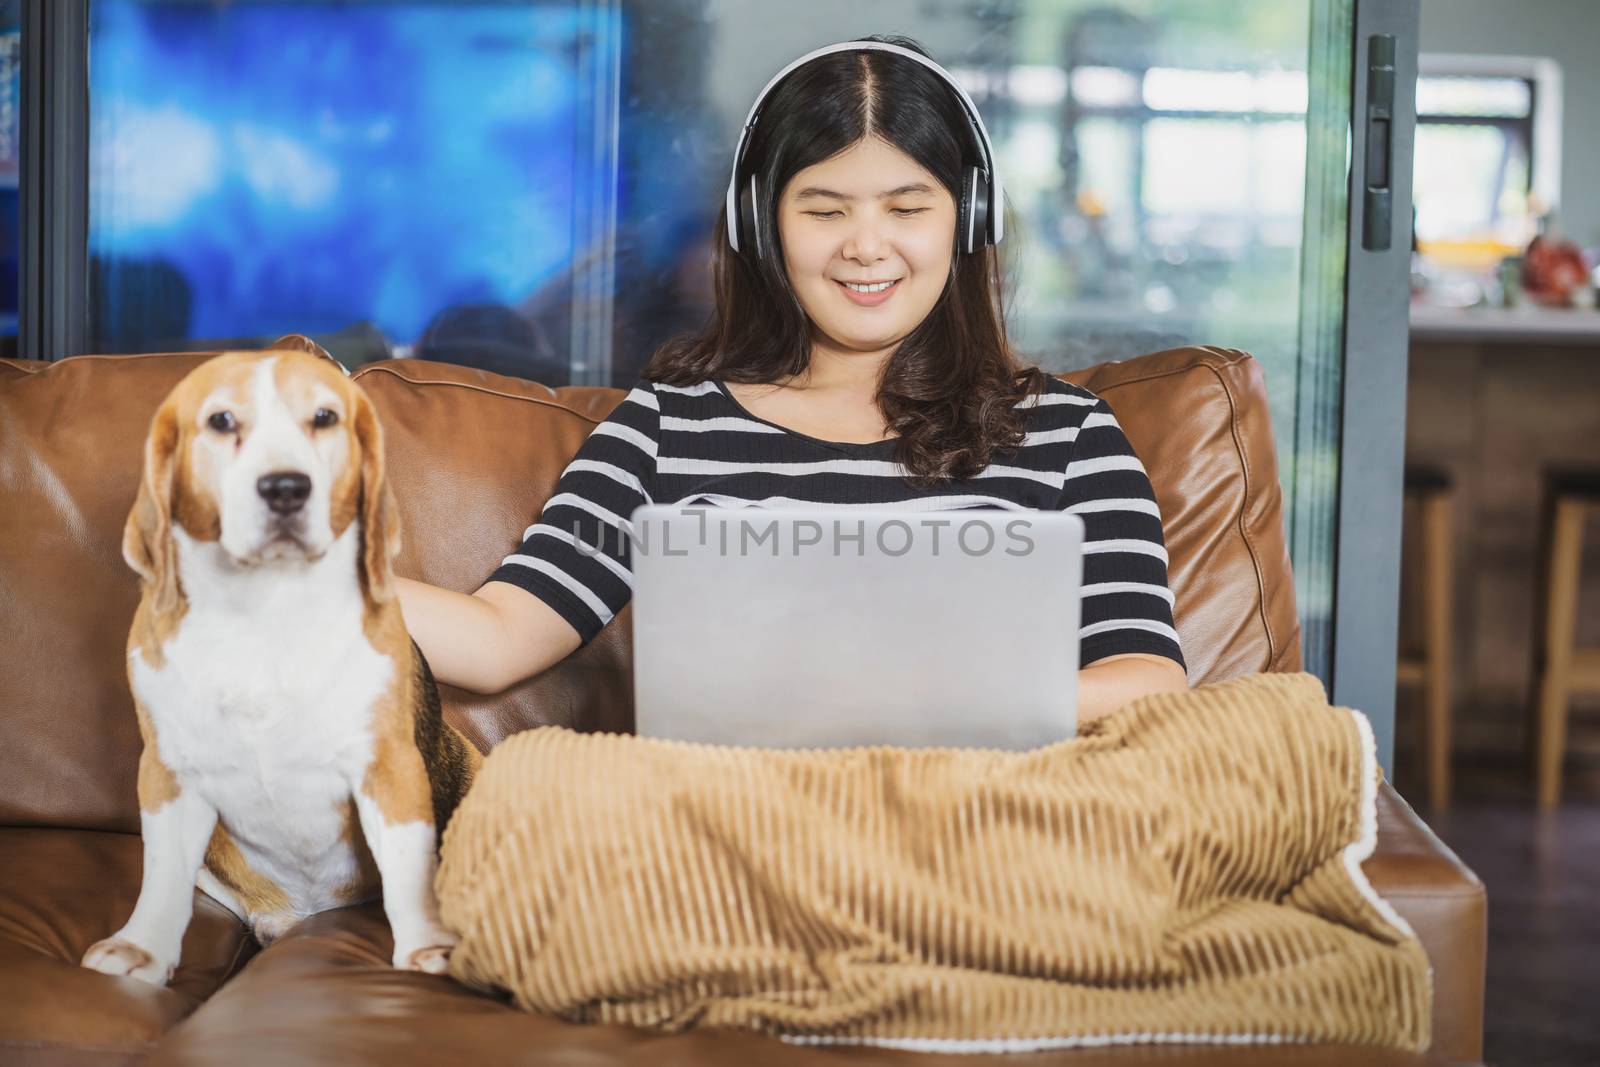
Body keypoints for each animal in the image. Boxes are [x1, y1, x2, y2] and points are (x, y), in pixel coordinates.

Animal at [81, 348, 476, 985]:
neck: (263, 608)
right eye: (221, 421)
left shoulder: (387, 765)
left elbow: (407, 864)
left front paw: (424, 947)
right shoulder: (169, 770)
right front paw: (141, 948)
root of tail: (301, 915)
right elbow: (160, 872)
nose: (287, 488)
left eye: (324, 417)